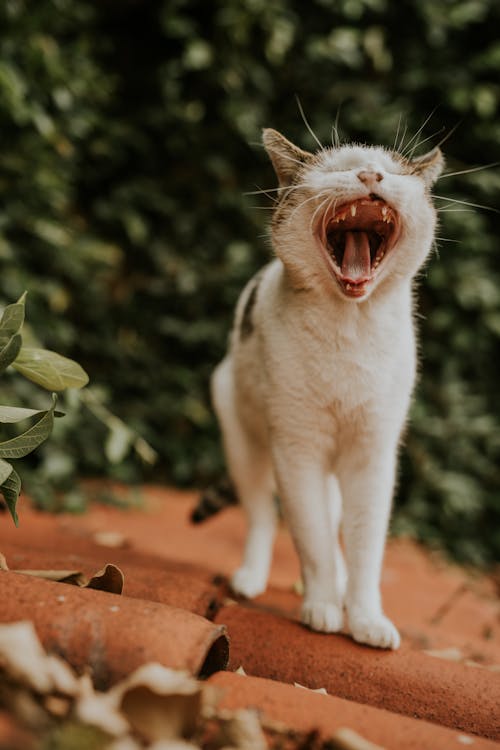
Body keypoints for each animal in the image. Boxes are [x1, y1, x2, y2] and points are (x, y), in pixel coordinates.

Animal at [201, 126, 444, 648]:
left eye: (389, 172)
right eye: (340, 169)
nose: (370, 175)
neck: (350, 330)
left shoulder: (372, 455)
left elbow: (367, 544)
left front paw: (366, 617)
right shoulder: (297, 450)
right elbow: (309, 537)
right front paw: (324, 607)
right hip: (244, 442)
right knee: (262, 514)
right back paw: (251, 577)